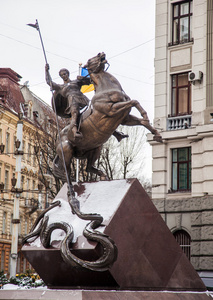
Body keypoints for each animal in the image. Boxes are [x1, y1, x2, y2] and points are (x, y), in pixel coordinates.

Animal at [53, 52, 161, 180]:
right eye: (90, 60)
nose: (101, 53)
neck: (106, 89)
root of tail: (58, 137)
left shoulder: (125, 118)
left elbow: (141, 120)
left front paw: (157, 134)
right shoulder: (112, 109)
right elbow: (134, 102)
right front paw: (145, 115)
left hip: (95, 148)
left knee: (88, 168)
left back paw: (104, 177)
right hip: (67, 151)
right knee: (67, 173)